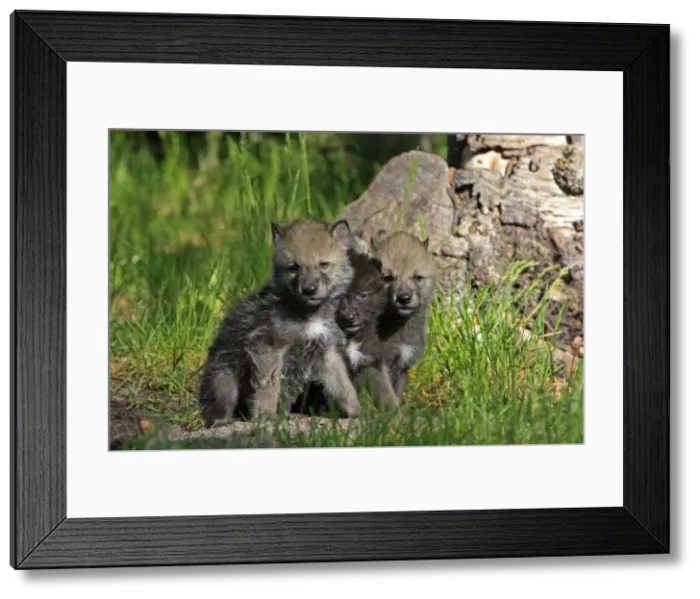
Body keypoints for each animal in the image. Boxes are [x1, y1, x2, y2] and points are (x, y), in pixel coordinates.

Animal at [197, 218, 361, 427]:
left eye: (324, 264)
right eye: (294, 267)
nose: (309, 289)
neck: (308, 314)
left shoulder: (327, 353)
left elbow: (343, 386)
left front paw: (359, 412)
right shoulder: (268, 347)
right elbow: (268, 386)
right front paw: (265, 416)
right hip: (224, 381)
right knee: (218, 409)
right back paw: (223, 421)